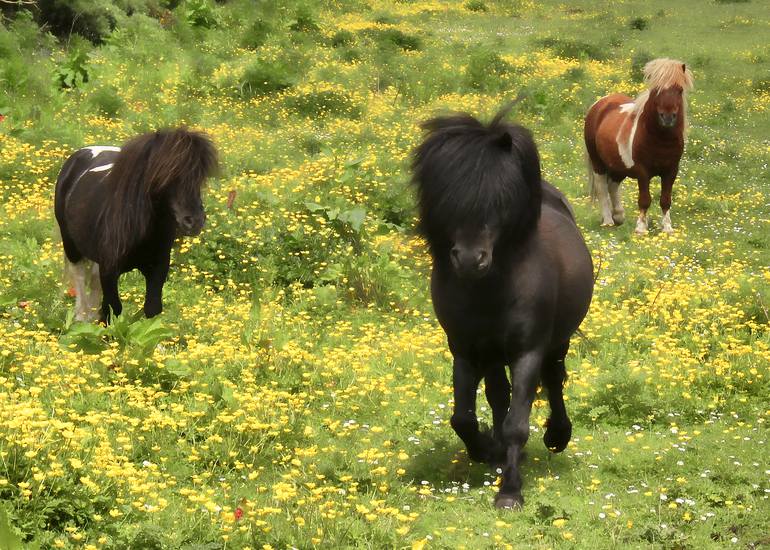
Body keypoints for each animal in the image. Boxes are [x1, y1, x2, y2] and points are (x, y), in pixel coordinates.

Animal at [54, 128, 218, 324]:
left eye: (200, 176)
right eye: (166, 173)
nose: (194, 221)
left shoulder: (157, 269)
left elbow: (152, 309)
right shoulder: (109, 270)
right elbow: (113, 309)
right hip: (71, 246)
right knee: (78, 277)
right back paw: (82, 317)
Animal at [412, 108, 592, 512]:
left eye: (500, 199)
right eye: (448, 198)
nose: (469, 259)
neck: (490, 290)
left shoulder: (528, 351)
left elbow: (517, 424)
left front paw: (509, 491)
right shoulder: (464, 350)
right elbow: (462, 418)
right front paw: (486, 449)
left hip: (554, 342)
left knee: (553, 380)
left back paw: (557, 436)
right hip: (492, 354)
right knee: (498, 393)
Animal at [584, 58, 692, 235]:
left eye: (680, 90)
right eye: (656, 90)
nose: (668, 117)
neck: (661, 140)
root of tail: (599, 103)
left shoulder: (671, 171)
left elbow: (665, 199)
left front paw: (667, 228)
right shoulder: (643, 171)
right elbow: (645, 199)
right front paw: (641, 228)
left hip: (618, 166)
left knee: (613, 186)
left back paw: (618, 216)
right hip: (597, 162)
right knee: (602, 188)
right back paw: (608, 220)